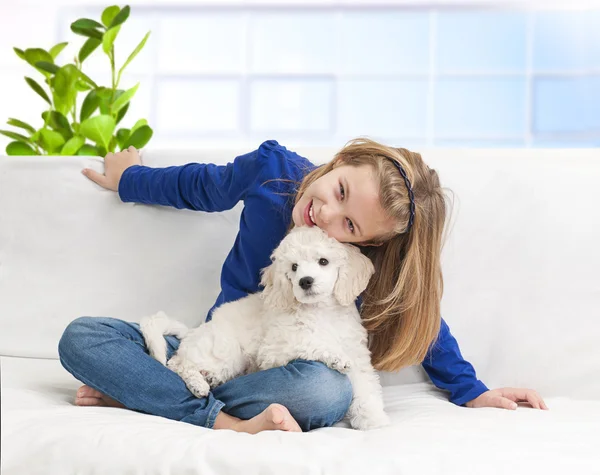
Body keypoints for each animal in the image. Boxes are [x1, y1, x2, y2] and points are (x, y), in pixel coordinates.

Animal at [143, 227, 392, 432]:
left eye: (323, 261)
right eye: (294, 267)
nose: (305, 281)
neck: (321, 311)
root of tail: (194, 332)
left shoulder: (358, 355)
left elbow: (367, 388)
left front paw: (373, 420)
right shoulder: (275, 350)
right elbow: (310, 341)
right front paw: (335, 356)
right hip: (226, 352)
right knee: (177, 363)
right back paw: (198, 384)